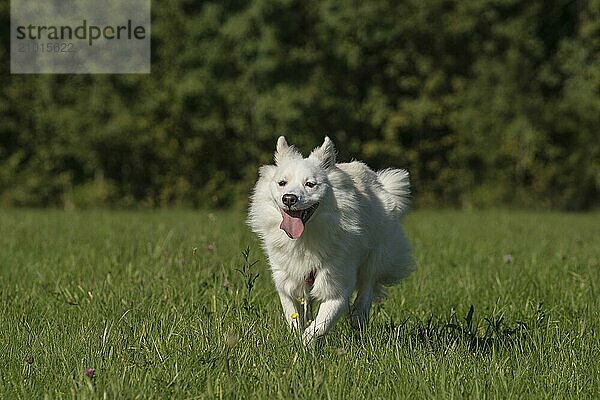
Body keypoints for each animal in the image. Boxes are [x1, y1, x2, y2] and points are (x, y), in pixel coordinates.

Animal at [248, 136, 412, 346]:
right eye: (282, 183)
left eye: (310, 184)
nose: (289, 198)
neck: (305, 238)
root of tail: (379, 182)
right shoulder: (286, 279)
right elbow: (292, 313)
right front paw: (296, 336)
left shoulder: (337, 287)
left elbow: (321, 324)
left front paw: (304, 345)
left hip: (376, 255)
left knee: (367, 285)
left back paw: (358, 315)